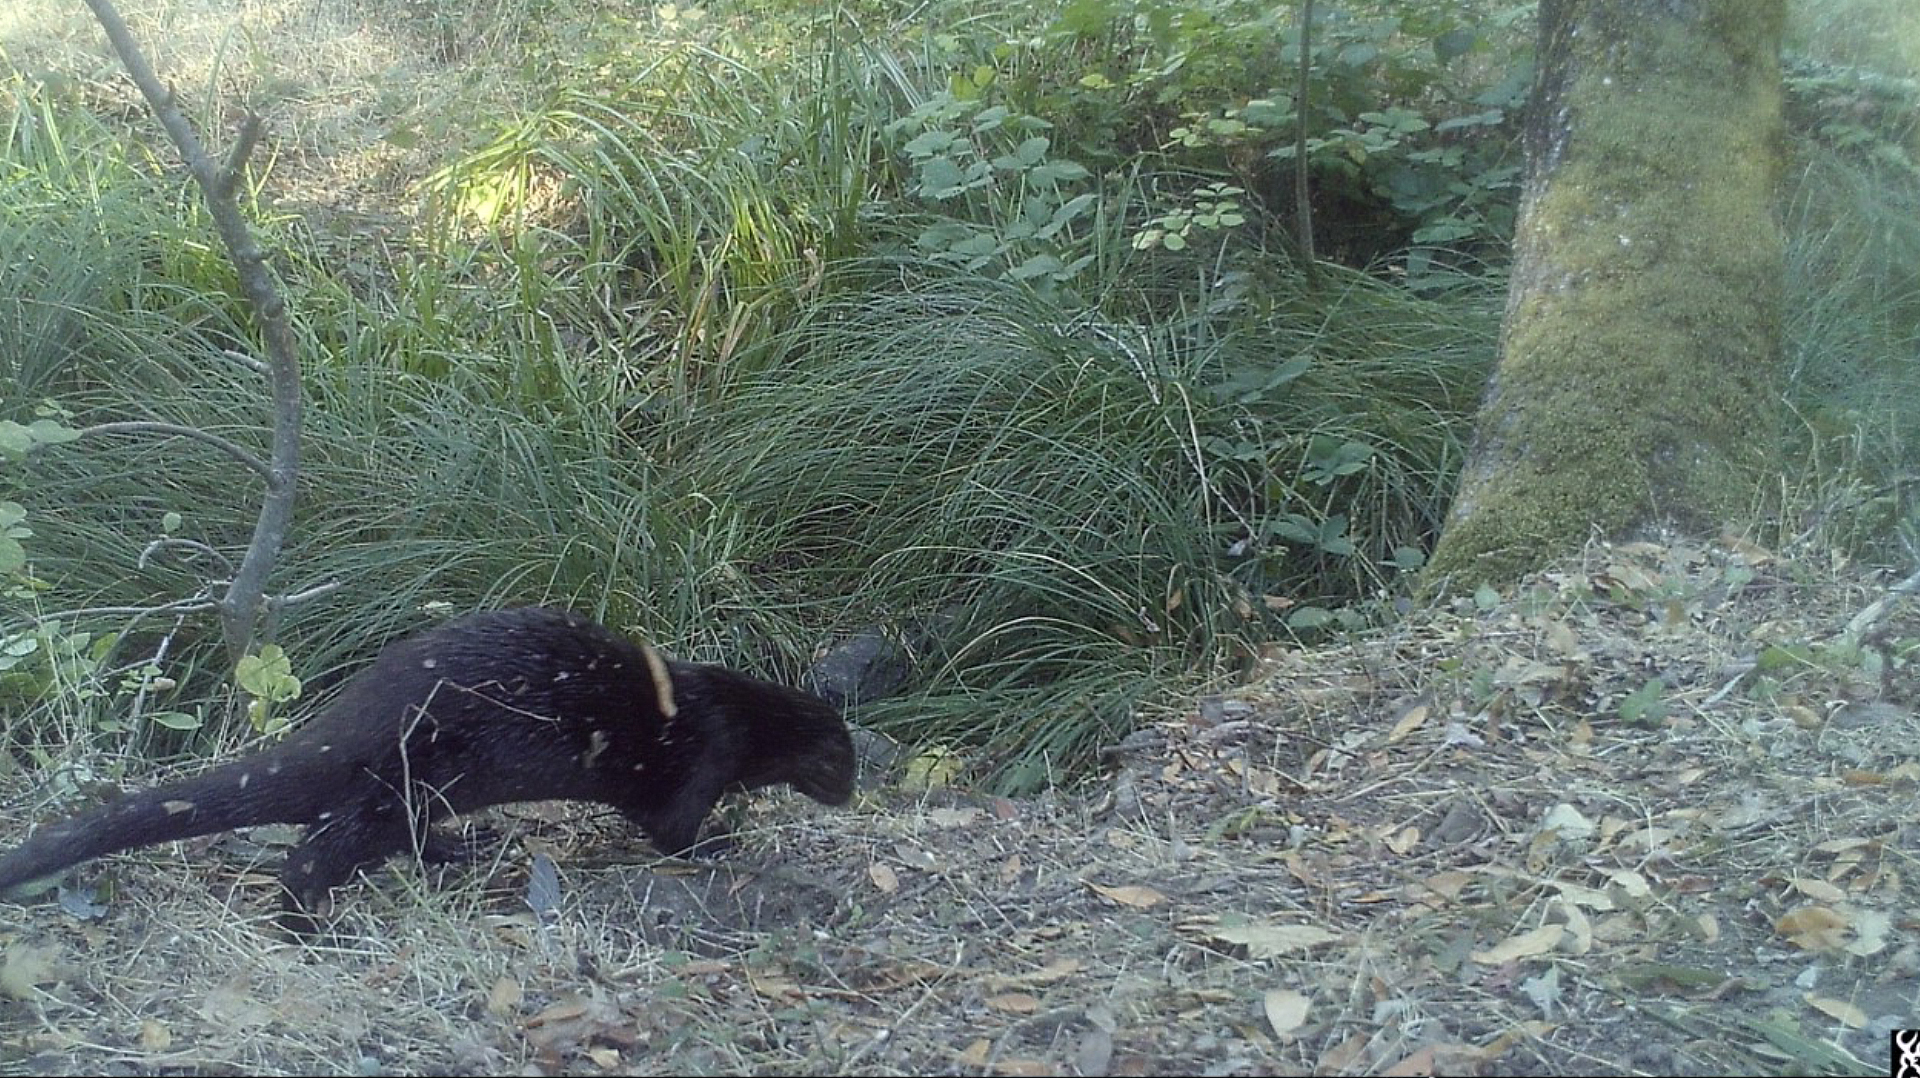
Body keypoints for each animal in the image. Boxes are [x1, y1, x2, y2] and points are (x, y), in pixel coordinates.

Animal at [0, 606, 855, 925]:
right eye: (843, 766)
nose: (851, 794)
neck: (741, 717)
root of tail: (349, 718)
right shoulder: (703, 757)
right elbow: (672, 826)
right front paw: (725, 840)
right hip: (412, 772)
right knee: (317, 852)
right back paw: (310, 924)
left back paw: (465, 848)